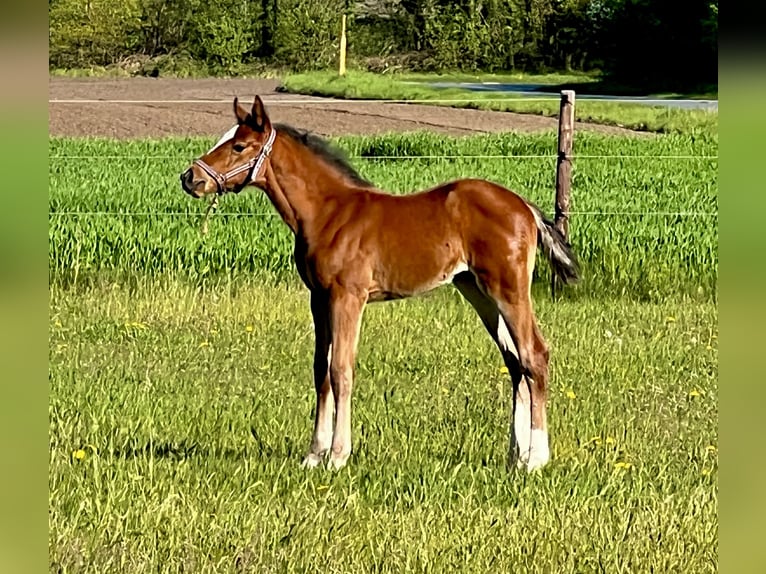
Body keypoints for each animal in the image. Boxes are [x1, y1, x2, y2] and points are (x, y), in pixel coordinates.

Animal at [180, 95, 579, 471]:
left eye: (238, 146)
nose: (190, 178)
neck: (328, 214)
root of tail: (524, 207)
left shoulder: (348, 297)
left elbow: (341, 370)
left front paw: (337, 455)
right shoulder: (318, 298)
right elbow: (320, 370)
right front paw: (313, 454)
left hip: (508, 289)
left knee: (534, 354)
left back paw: (536, 458)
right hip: (475, 290)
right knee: (514, 362)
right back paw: (516, 456)